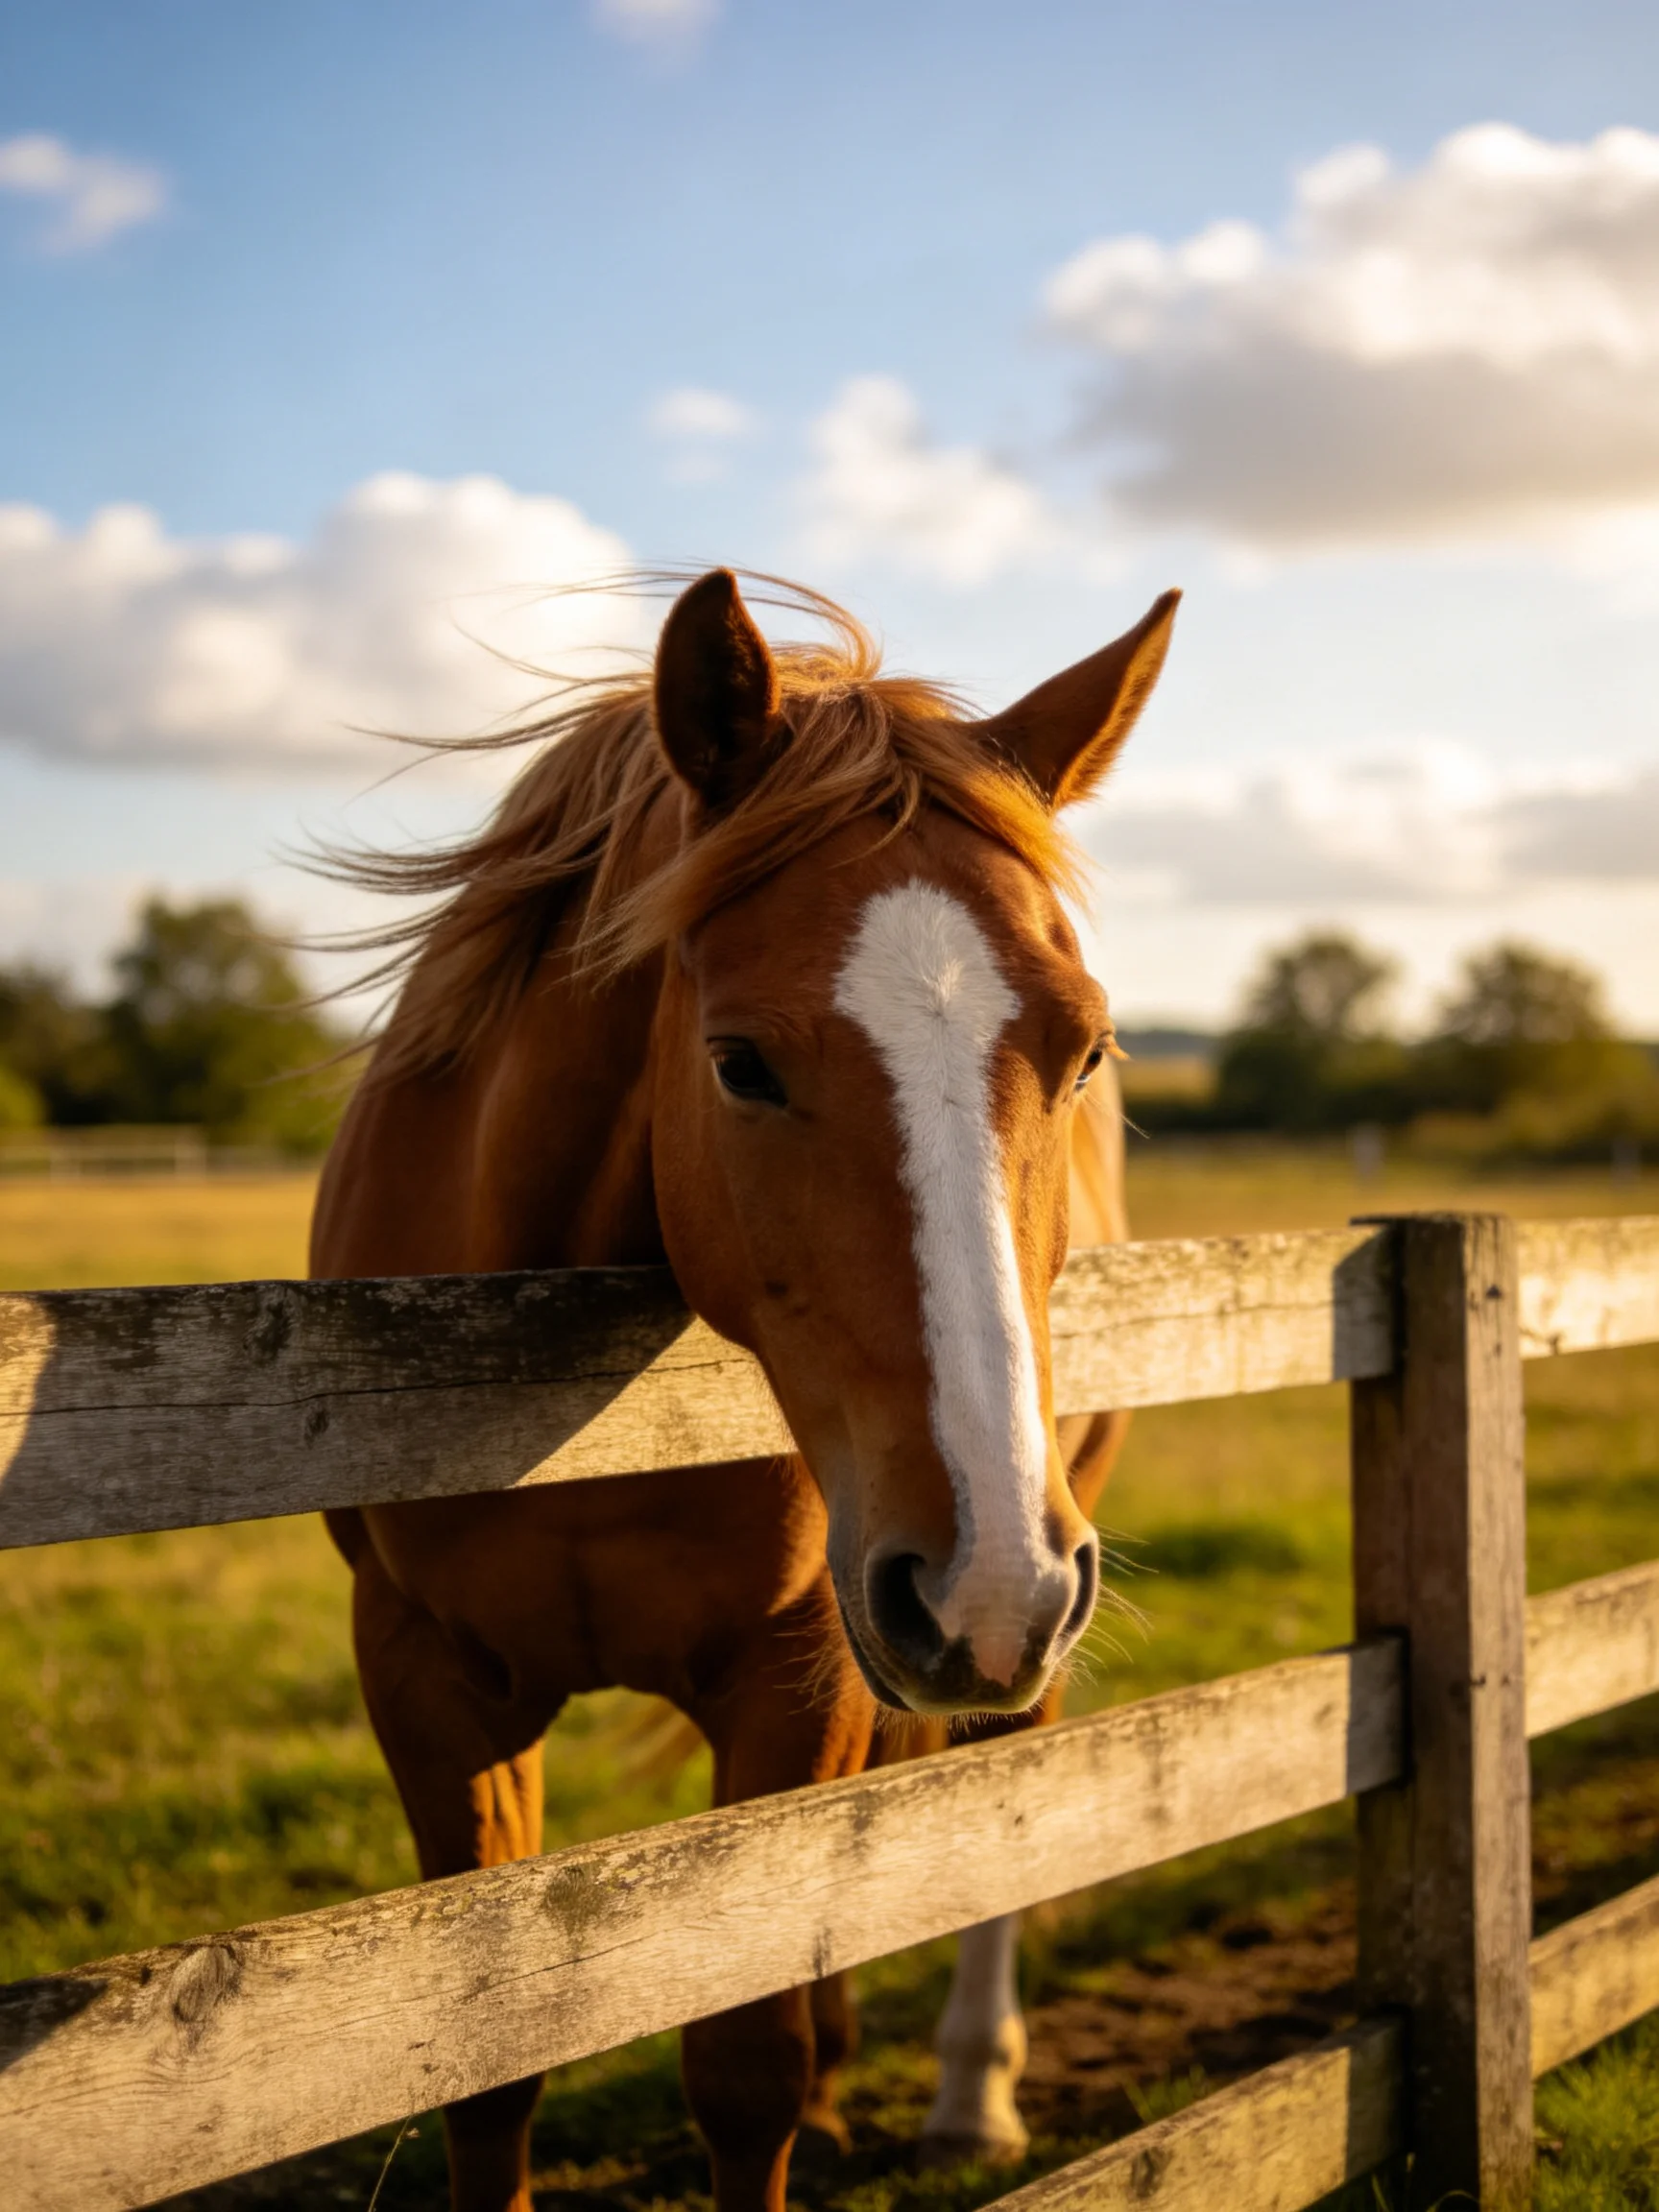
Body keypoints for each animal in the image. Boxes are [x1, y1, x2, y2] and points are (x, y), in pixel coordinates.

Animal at [310, 569, 1178, 2212]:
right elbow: (486, 2074)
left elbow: (745, 2063)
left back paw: (970, 2096)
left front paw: (825, 2086)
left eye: (1089, 1050)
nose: (986, 1581)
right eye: (741, 1063)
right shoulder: (426, 1675)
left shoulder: (806, 1664)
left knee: (1003, 1809)